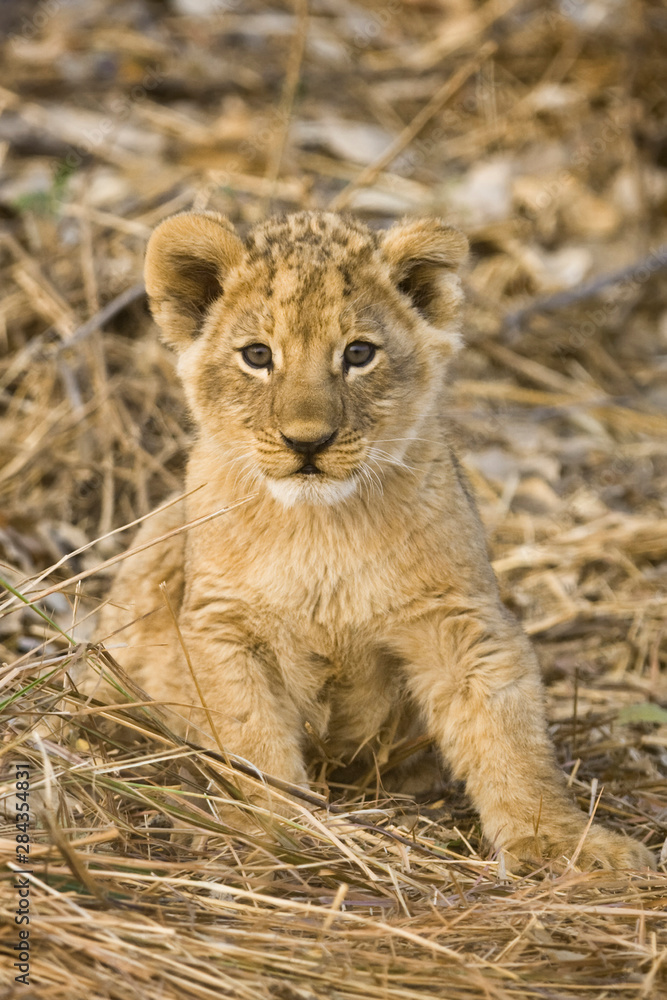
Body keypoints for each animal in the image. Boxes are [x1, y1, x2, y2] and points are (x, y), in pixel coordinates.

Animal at [100, 210, 654, 870]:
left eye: (359, 353)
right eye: (258, 355)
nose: (306, 442)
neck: (319, 527)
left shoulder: (456, 618)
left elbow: (507, 734)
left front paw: (561, 843)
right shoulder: (222, 625)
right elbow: (250, 738)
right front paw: (272, 831)